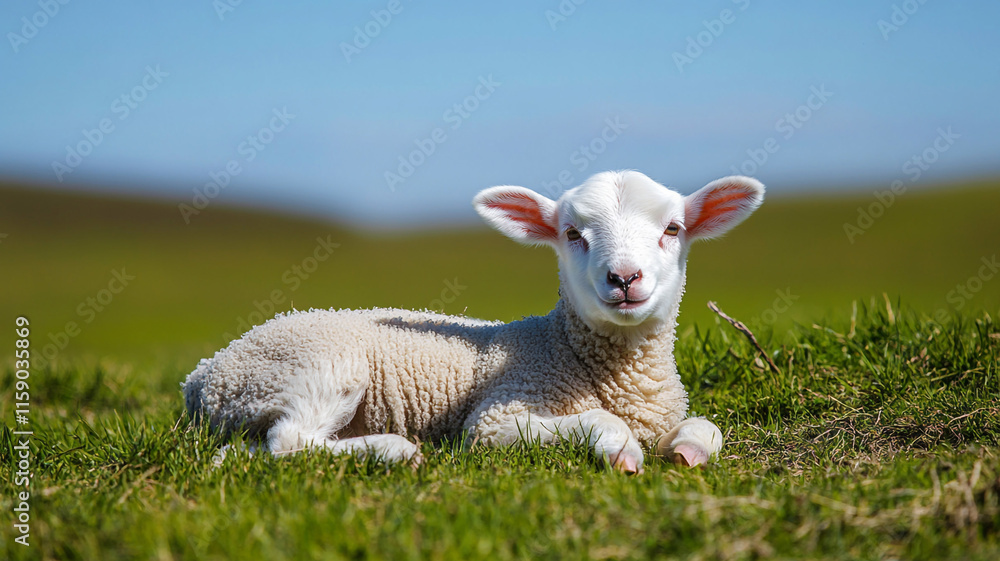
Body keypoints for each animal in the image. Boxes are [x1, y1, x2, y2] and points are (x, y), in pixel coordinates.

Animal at [183, 170, 764, 472]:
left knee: (255, 449)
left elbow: (708, 427)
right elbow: (600, 421)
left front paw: (687, 451)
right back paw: (397, 451)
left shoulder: (661, 414)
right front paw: (621, 452)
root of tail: (203, 373)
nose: (624, 277)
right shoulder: (497, 417)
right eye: (572, 233)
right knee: (291, 441)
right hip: (313, 368)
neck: (560, 345)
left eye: (672, 229)